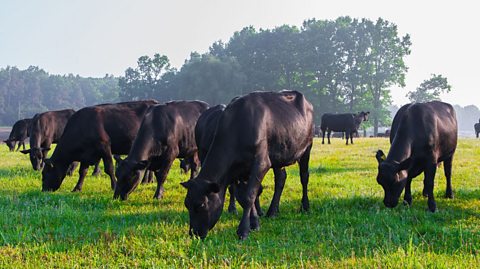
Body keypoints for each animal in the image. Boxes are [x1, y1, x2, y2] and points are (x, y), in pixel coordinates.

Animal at [182, 90, 314, 239]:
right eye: (186, 204)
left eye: (201, 205)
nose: (194, 234)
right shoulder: (241, 169)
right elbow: (246, 194)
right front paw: (254, 222)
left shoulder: (261, 163)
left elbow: (249, 195)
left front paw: (243, 230)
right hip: (279, 155)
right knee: (281, 179)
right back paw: (273, 211)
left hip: (307, 147)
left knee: (304, 177)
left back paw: (305, 206)